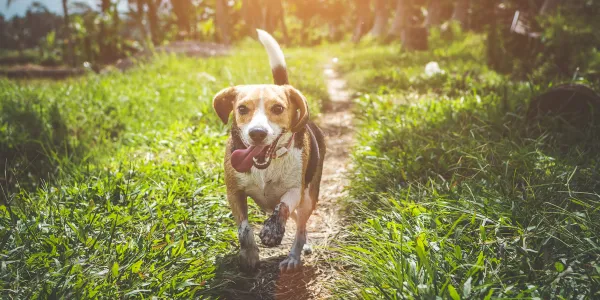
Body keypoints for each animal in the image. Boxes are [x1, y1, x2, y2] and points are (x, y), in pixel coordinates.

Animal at [212, 29, 326, 272]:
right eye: (242, 109)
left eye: (278, 108)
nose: (257, 133)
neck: (267, 165)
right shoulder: (234, 192)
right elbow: (244, 229)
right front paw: (249, 255)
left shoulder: (295, 190)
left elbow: (282, 206)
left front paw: (272, 231)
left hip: (309, 198)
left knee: (300, 228)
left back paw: (294, 256)